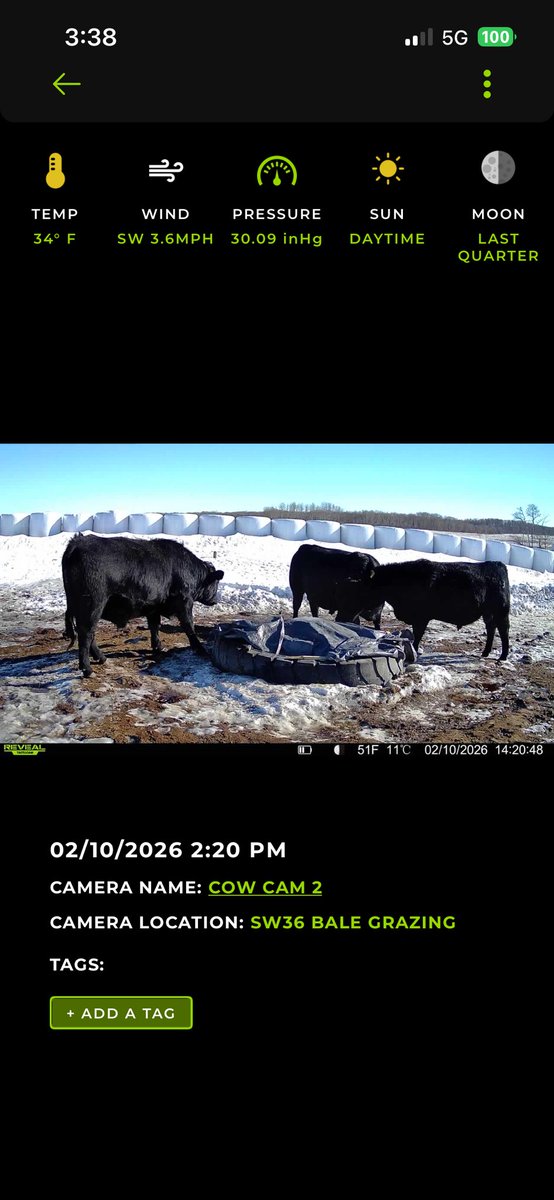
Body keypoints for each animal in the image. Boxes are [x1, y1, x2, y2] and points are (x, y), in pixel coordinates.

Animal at [62, 534, 224, 677]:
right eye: (216, 583)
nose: (215, 600)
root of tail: (76, 542)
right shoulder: (184, 602)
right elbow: (189, 626)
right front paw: (200, 649)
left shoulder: (153, 606)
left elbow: (154, 626)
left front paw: (158, 647)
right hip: (92, 605)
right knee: (86, 634)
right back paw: (87, 669)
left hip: (82, 607)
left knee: (90, 634)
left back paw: (101, 658)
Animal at [361, 559, 510, 659]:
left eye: (367, 585)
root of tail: (497, 564)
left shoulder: (421, 617)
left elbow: (417, 635)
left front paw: (415, 650)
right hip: (489, 613)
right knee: (491, 629)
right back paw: (485, 653)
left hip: (500, 612)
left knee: (503, 631)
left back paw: (503, 656)